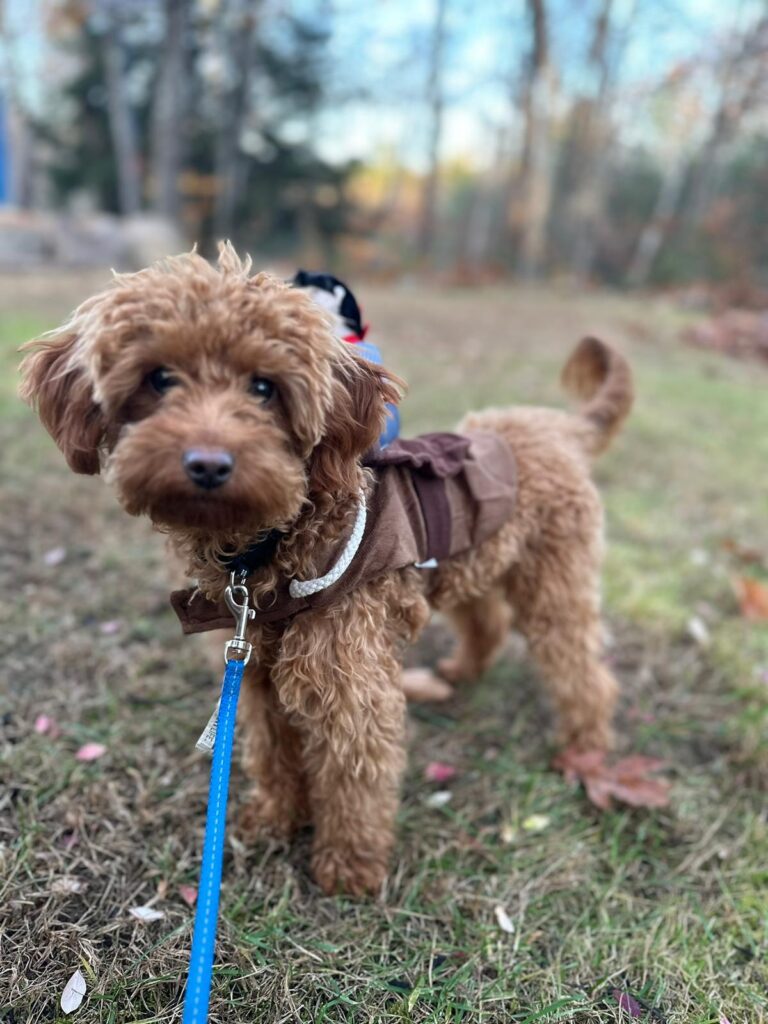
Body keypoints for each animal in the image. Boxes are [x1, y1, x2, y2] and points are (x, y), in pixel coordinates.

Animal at [20, 243, 638, 892]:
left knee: (582, 670)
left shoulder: (350, 683)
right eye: (159, 378)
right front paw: (274, 819)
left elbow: (353, 778)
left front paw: (348, 867)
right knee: (486, 621)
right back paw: (462, 671)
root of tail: (560, 426)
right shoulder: (255, 671)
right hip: (483, 560)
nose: (208, 464)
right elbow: (274, 753)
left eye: (263, 387)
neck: (266, 553)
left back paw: (585, 748)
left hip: (556, 576)